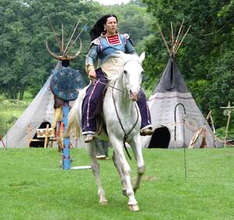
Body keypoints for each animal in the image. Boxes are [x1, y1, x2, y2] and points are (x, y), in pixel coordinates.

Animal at [66, 52, 145, 211]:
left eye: (142, 72)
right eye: (125, 71)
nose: (134, 94)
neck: (125, 107)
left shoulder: (134, 138)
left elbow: (140, 166)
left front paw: (132, 188)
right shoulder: (115, 138)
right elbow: (126, 168)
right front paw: (132, 201)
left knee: (116, 161)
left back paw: (124, 188)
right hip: (91, 142)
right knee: (95, 167)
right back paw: (103, 197)